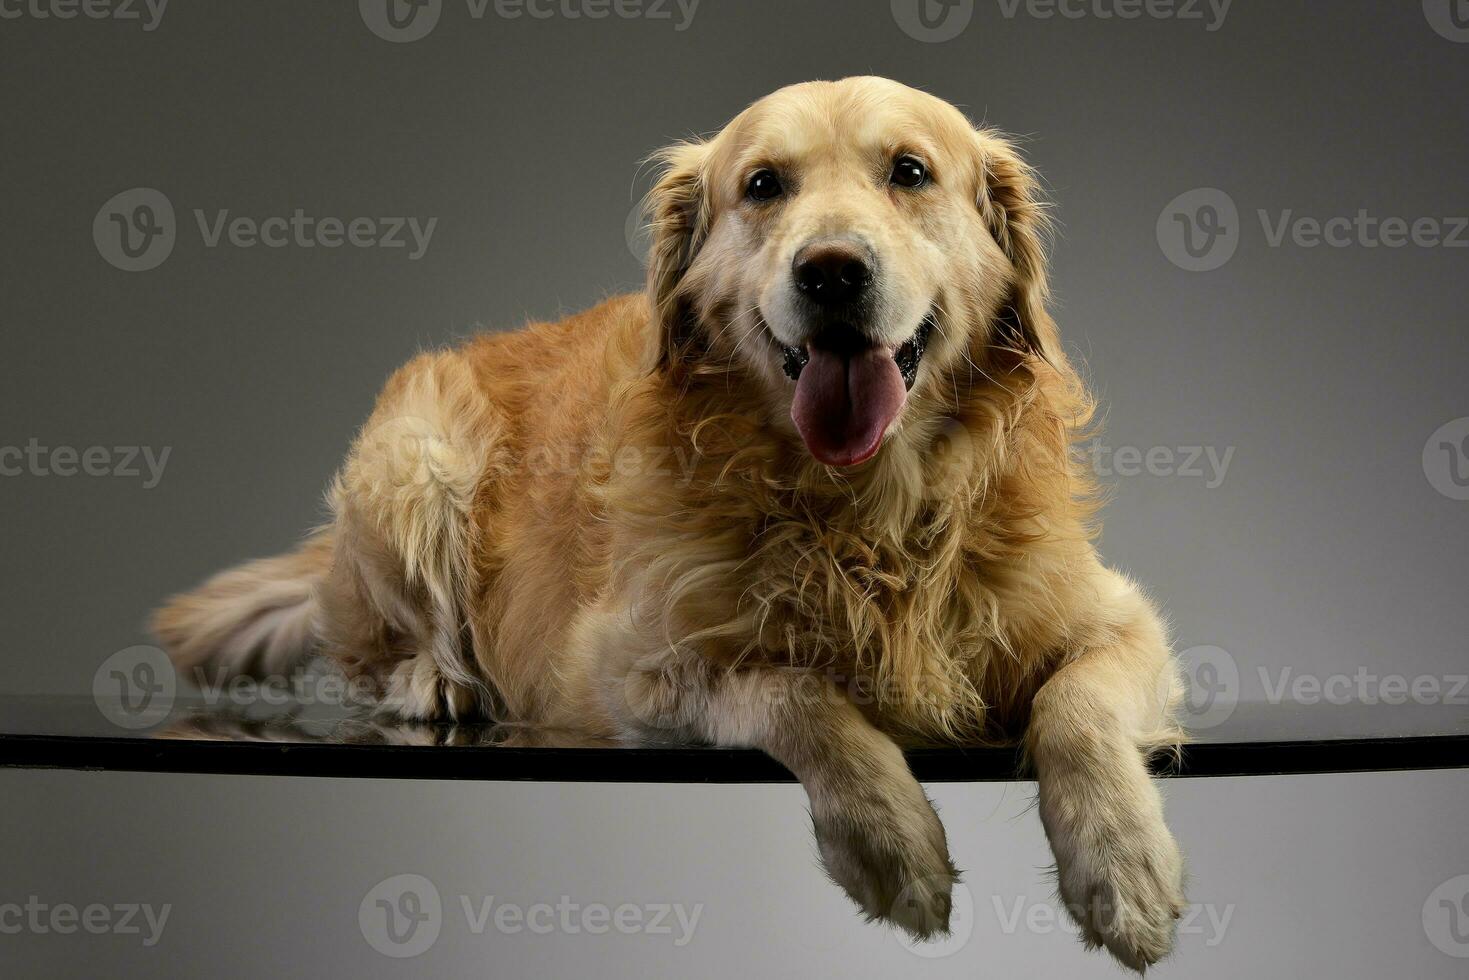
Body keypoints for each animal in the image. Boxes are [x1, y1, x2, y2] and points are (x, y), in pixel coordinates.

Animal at [152, 76, 1181, 975]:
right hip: (415, 456)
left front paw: (1122, 867)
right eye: (763, 185)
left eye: (909, 171)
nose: (831, 272)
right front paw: (891, 843)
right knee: (376, 649)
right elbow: (795, 694)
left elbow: (1078, 706)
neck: (865, 508)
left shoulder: (1120, 621)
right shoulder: (627, 666)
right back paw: (433, 678)